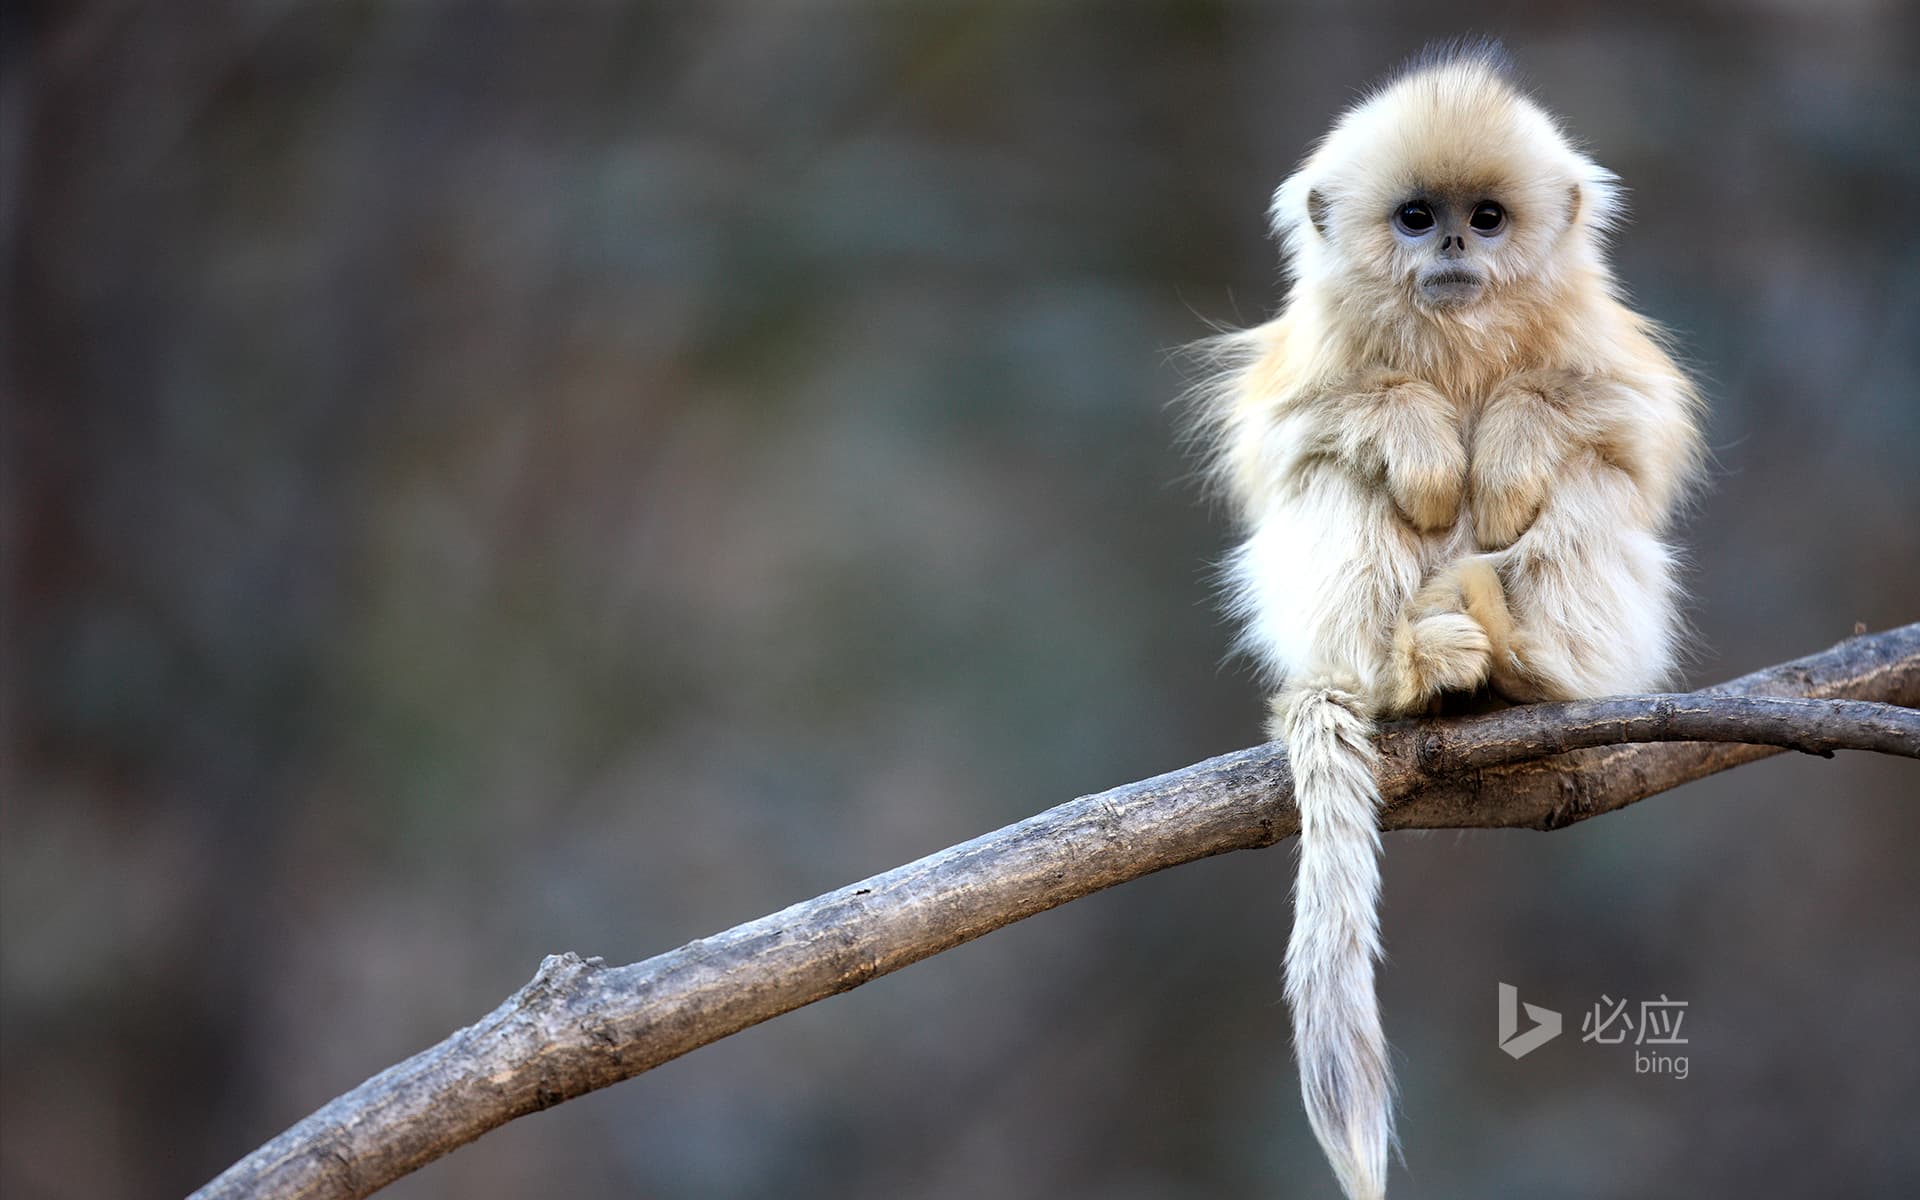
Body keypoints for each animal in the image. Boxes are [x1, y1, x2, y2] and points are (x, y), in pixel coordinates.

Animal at [1190, 43, 1703, 1200]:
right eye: (1418, 217)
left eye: (1489, 217)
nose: (1457, 246)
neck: (1458, 334)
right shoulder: (1311, 360)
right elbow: (1292, 438)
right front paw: (1424, 444)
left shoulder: (1601, 343)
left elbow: (1626, 429)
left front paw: (1507, 451)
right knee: (1335, 481)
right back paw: (1413, 670)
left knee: (1590, 486)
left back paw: (1523, 665)